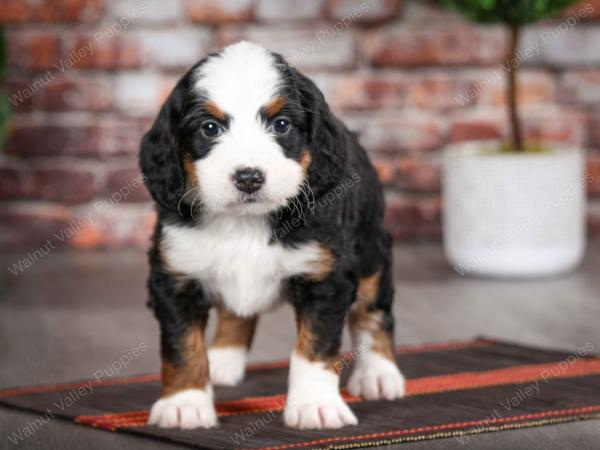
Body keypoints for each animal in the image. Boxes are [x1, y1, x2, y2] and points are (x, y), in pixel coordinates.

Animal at [138, 43, 406, 432]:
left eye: (281, 125)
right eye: (209, 128)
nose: (249, 177)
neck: (246, 222)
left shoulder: (326, 278)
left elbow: (315, 348)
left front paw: (315, 405)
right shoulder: (176, 275)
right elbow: (181, 345)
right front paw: (184, 403)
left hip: (372, 250)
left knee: (374, 312)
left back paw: (379, 374)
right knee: (237, 315)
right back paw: (223, 360)